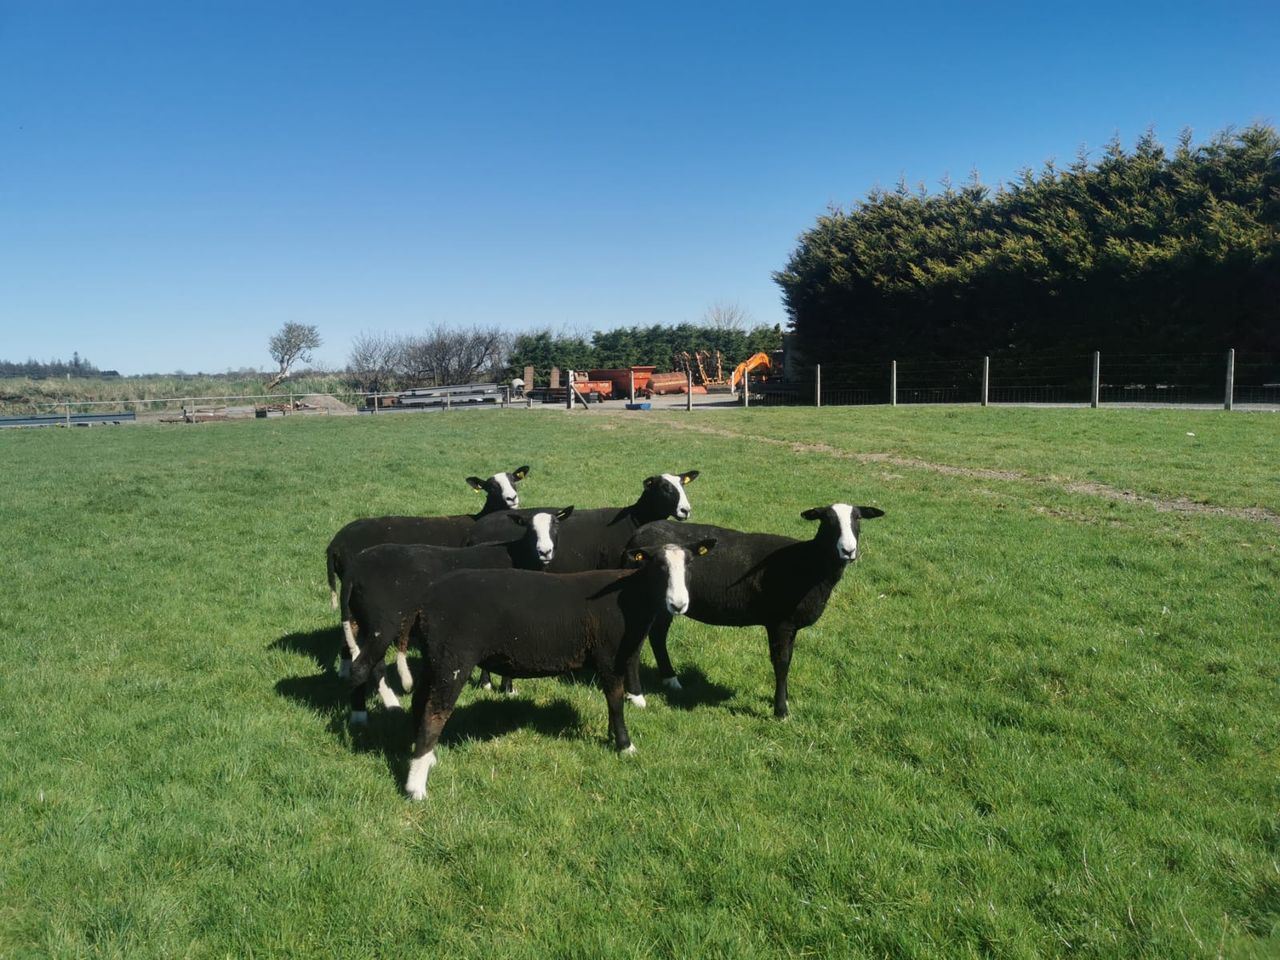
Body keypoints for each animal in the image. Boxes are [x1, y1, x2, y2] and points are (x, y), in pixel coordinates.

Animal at [341, 507, 573, 723]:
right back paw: (368, 714)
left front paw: (495, 686)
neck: (518, 556)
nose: (545, 551)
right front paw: (504, 688)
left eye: (555, 526)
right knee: (361, 667)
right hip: (384, 623)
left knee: (368, 663)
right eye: (530, 529)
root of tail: (353, 571)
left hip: (364, 622)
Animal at [351, 536, 716, 799]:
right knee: (434, 713)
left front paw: (614, 736)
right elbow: (615, 700)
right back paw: (416, 787)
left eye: (690, 565)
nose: (679, 605)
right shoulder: (608, 654)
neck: (630, 598)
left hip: (433, 657)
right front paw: (625, 746)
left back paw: (425, 758)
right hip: (453, 658)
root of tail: (424, 603)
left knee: (420, 702)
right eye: (658, 567)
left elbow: (613, 703)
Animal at [624, 503, 884, 718]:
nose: (848, 550)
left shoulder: (792, 624)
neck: (809, 563)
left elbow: (788, 660)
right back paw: (636, 696)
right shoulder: (780, 622)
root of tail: (638, 534)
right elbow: (781, 663)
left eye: (858, 518)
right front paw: (780, 711)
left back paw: (671, 680)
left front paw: (784, 701)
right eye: (827, 520)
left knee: (658, 636)